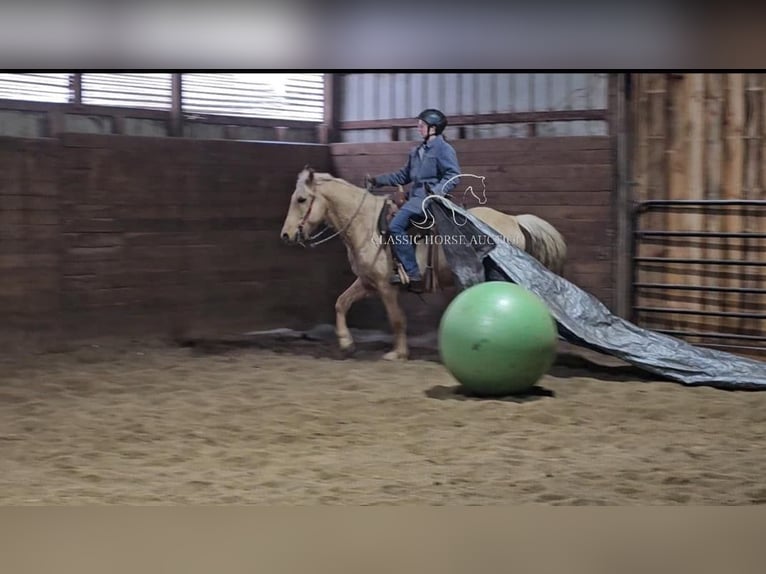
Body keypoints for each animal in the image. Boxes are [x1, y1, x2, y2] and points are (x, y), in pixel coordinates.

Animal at [280, 166, 568, 362]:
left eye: (301, 199)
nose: (286, 235)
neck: (367, 224)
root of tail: (514, 220)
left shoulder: (386, 286)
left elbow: (397, 319)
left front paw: (398, 353)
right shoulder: (367, 282)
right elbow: (341, 303)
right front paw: (346, 343)